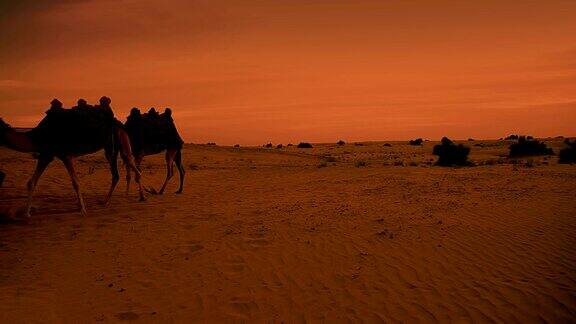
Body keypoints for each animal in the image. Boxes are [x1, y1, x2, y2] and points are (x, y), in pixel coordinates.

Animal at [0, 97, 144, 218]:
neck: (37, 136)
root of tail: (118, 123)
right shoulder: (47, 154)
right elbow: (31, 182)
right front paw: (26, 214)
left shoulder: (65, 154)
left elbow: (75, 182)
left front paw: (82, 209)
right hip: (114, 144)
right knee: (119, 171)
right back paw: (106, 201)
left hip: (116, 140)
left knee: (129, 165)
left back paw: (139, 197)